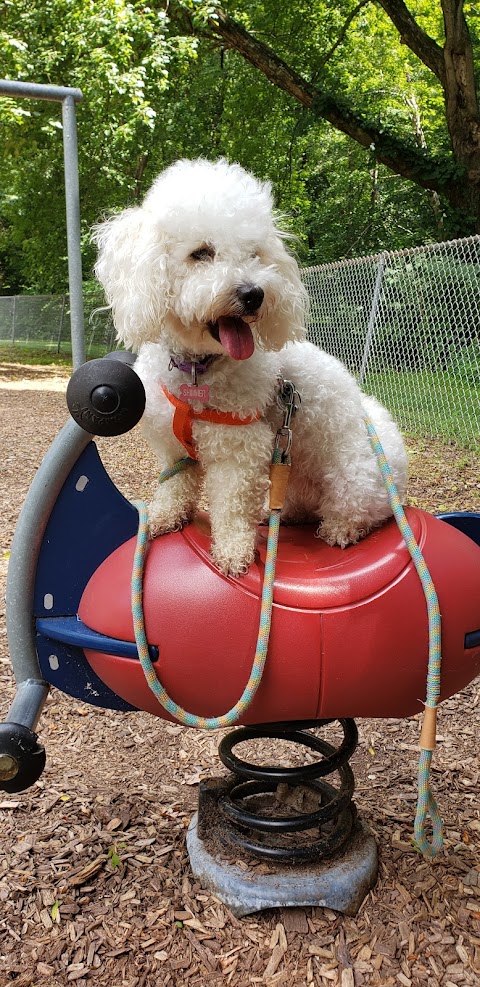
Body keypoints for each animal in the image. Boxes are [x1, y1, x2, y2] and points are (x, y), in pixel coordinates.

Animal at [94, 157, 408, 576]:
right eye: (201, 253)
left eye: (255, 254)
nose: (253, 293)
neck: (199, 369)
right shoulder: (175, 449)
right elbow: (176, 486)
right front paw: (162, 516)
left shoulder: (238, 451)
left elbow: (230, 507)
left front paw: (232, 551)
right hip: (290, 477)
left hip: (355, 475)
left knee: (364, 511)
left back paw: (340, 528)